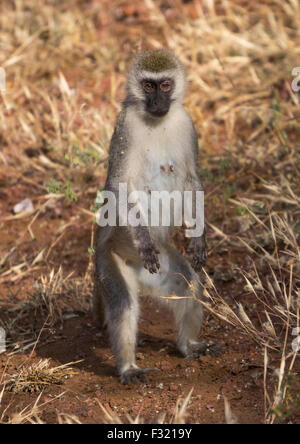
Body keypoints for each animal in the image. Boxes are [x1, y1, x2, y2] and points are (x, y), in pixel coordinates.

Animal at [93, 47, 216, 382]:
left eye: (165, 85)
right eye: (148, 86)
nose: (159, 102)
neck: (156, 122)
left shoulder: (187, 123)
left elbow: (192, 180)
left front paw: (198, 239)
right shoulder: (125, 126)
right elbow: (118, 186)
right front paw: (145, 241)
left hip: (159, 269)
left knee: (187, 285)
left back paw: (188, 346)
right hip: (108, 259)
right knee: (123, 304)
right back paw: (127, 368)